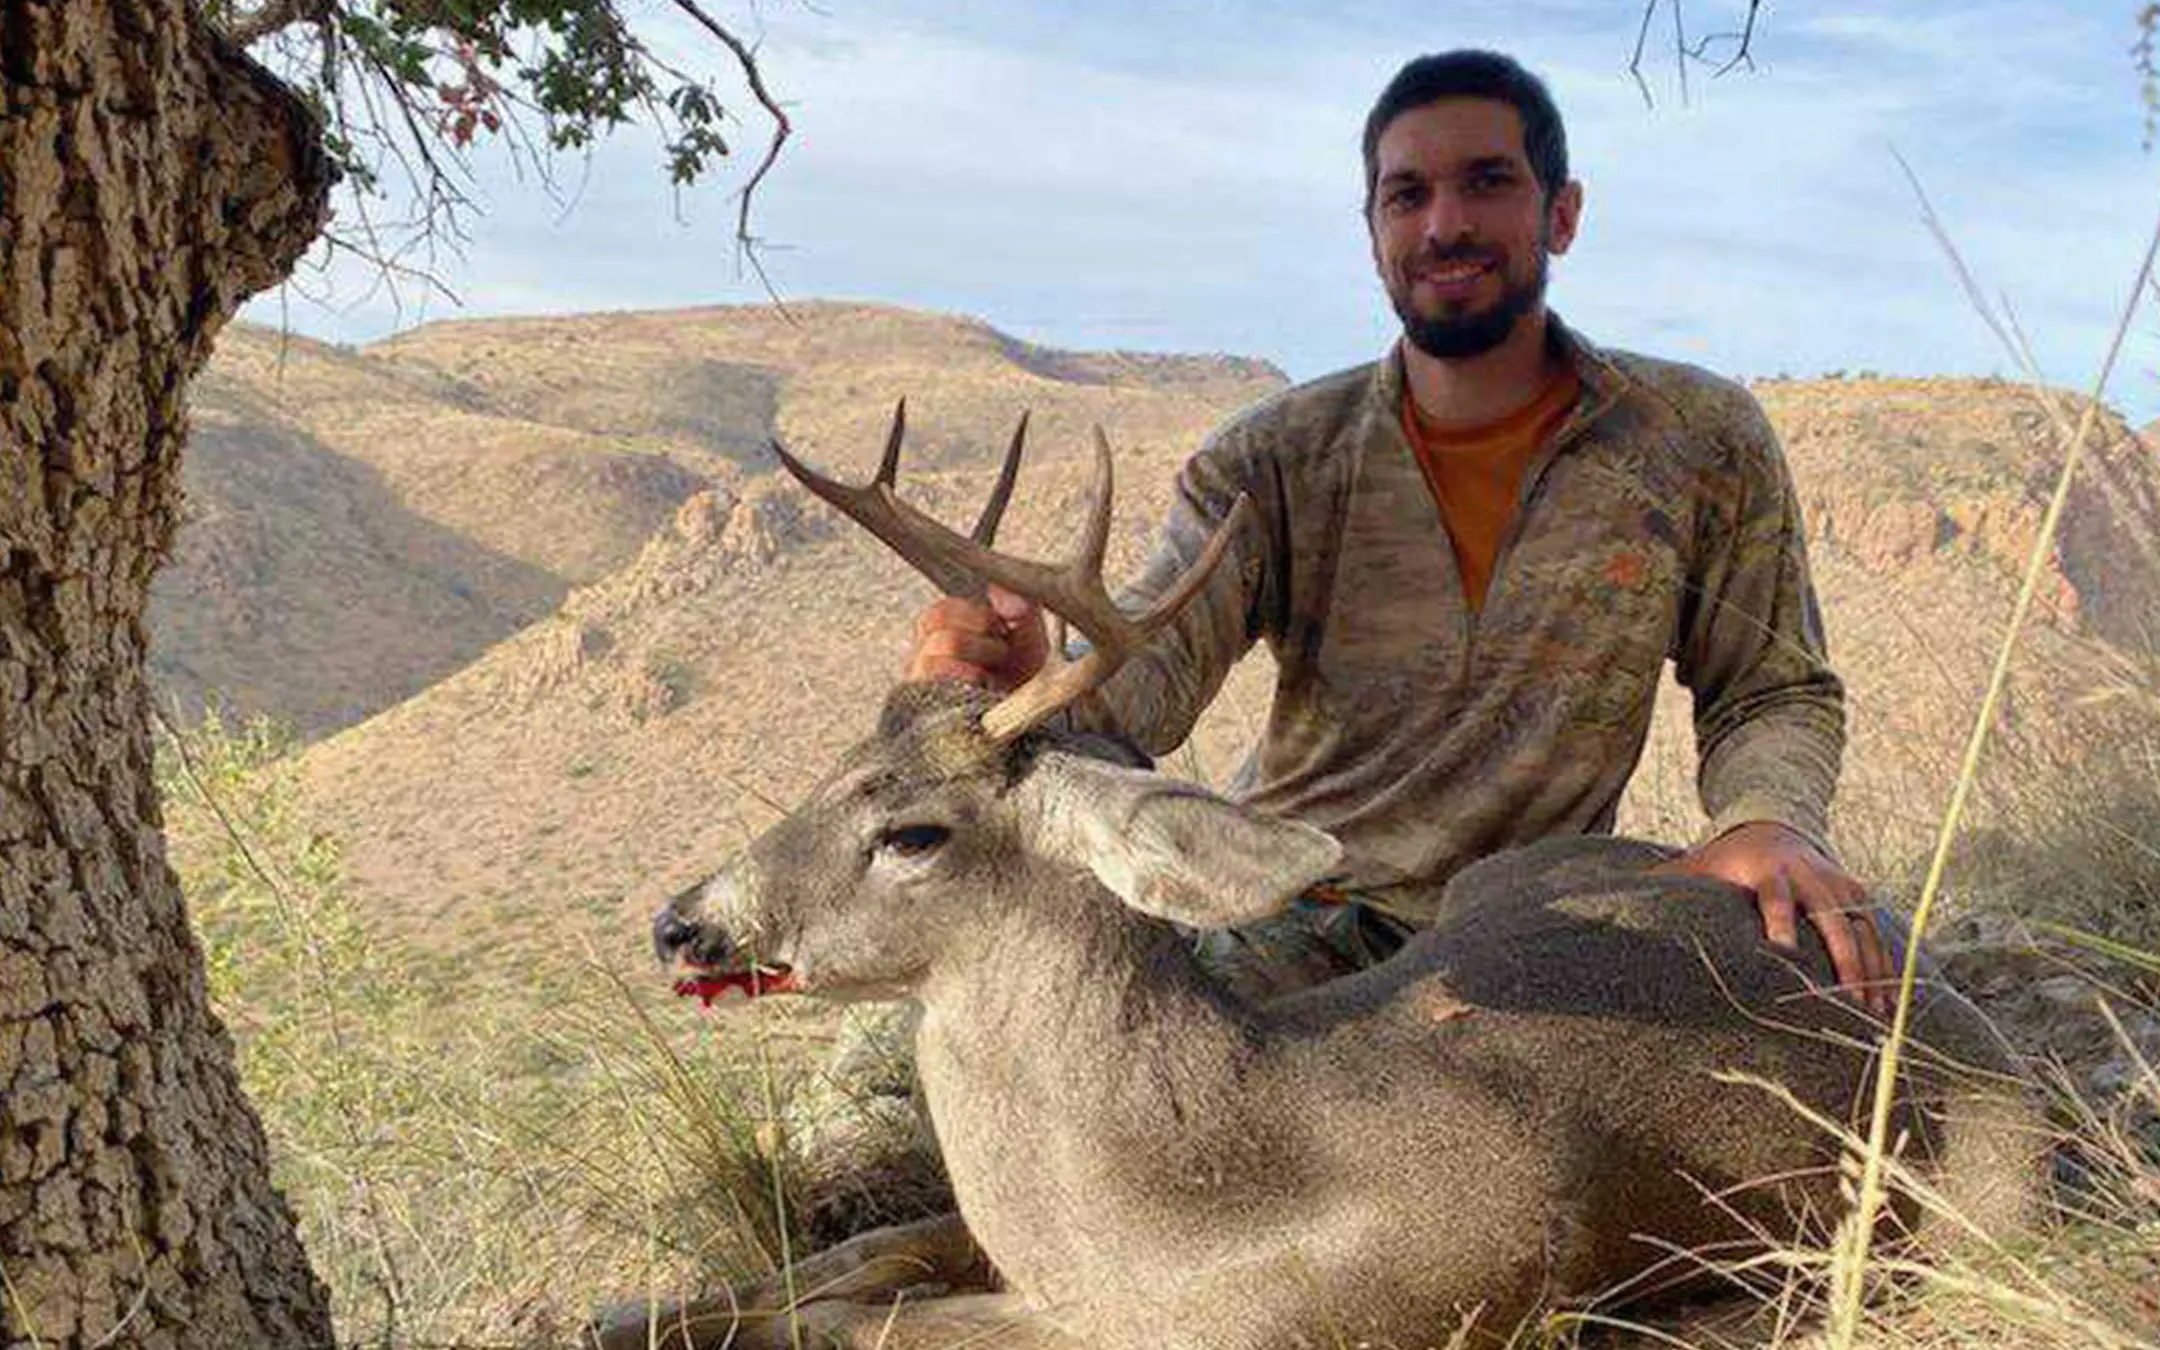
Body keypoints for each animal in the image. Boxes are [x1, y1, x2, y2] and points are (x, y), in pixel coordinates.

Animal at [635, 408, 2039, 1347]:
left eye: (913, 832)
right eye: (836, 762)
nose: (682, 923)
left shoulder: (1315, 1323)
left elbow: (852, 1322)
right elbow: (844, 1260)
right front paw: (644, 1305)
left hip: (1983, 1199)